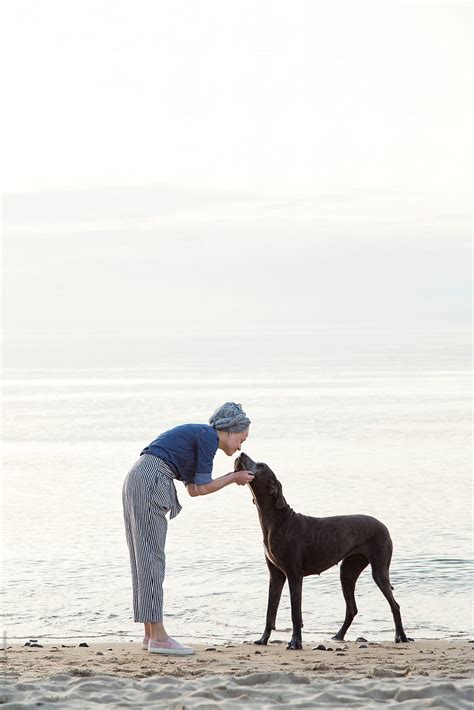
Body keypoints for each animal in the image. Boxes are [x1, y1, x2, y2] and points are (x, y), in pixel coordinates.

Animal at [235, 456, 412, 652]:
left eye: (260, 466)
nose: (241, 454)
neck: (276, 520)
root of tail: (383, 525)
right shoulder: (276, 576)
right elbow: (270, 611)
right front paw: (263, 639)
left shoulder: (294, 575)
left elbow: (295, 613)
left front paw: (295, 642)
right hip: (348, 571)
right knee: (352, 608)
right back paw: (338, 636)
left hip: (379, 569)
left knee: (394, 605)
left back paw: (401, 636)